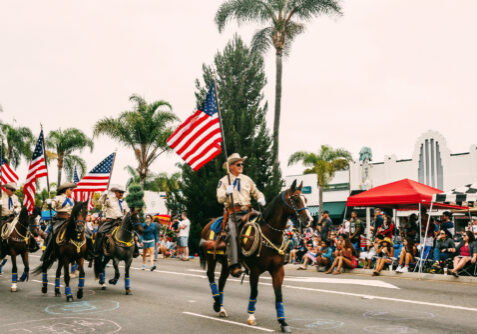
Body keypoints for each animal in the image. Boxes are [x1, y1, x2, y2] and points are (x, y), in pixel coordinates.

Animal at [199, 180, 310, 334]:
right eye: (295, 199)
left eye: (305, 199)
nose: (308, 220)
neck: (269, 234)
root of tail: (209, 223)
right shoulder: (255, 270)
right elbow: (254, 292)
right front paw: (251, 317)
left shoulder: (278, 270)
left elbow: (279, 295)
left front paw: (283, 322)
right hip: (211, 258)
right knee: (211, 276)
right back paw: (216, 303)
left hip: (227, 264)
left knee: (221, 281)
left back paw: (221, 308)